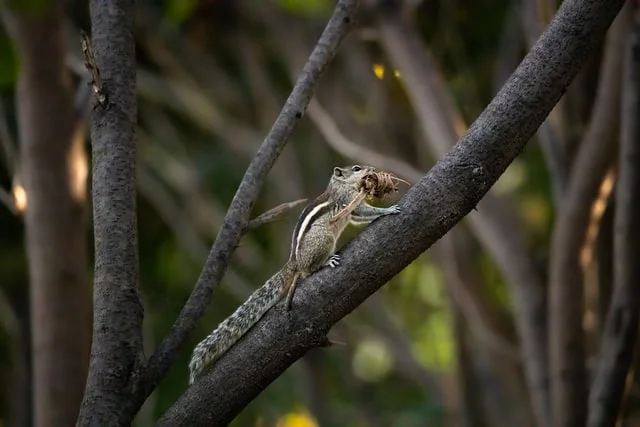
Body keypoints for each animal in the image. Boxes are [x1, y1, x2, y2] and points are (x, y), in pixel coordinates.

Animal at [188, 165, 401, 384]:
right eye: (357, 169)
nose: (372, 170)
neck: (339, 185)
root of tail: (294, 262)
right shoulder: (347, 199)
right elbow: (362, 210)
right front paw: (388, 210)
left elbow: (359, 217)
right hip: (324, 239)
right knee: (307, 270)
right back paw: (325, 262)